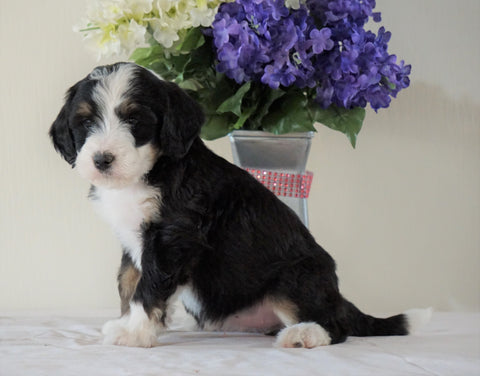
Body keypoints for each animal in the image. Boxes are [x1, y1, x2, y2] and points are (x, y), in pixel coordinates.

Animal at [49, 63, 432, 348]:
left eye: (134, 120)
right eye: (85, 122)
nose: (102, 159)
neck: (152, 171)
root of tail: (336, 294)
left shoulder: (172, 236)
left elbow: (149, 286)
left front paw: (134, 332)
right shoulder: (134, 241)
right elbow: (128, 281)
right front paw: (130, 323)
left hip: (295, 277)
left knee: (337, 327)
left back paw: (304, 334)